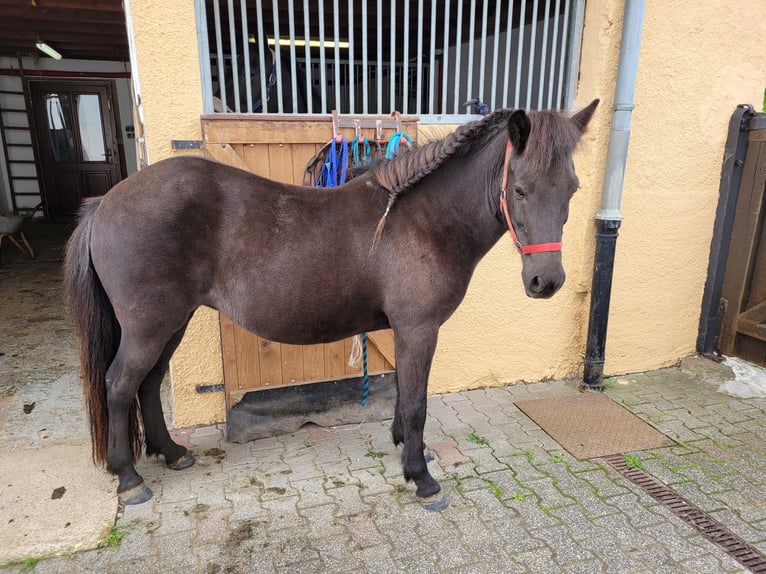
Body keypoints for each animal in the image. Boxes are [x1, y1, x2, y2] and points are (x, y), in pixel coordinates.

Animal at [64, 101, 600, 506]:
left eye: (573, 188)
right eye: (520, 189)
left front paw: (405, 449)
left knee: (148, 383)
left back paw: (171, 451)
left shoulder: (404, 331)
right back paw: (129, 479)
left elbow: (403, 395)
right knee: (119, 385)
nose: (546, 281)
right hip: (150, 325)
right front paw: (422, 478)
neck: (423, 219)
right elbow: (417, 402)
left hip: (170, 323)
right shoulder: (418, 328)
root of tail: (106, 203)